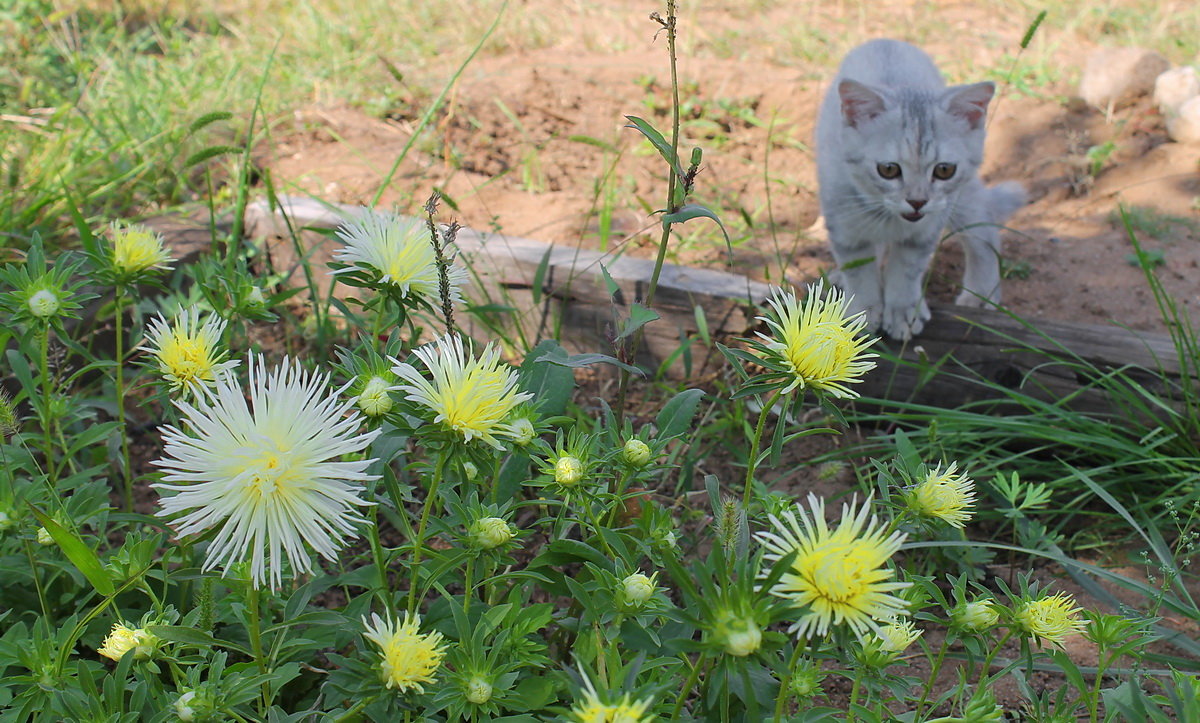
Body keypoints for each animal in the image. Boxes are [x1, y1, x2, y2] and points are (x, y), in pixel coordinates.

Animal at [820, 40, 1027, 338]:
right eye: (888, 169)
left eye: (944, 170)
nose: (917, 201)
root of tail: (885, 40)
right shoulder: (843, 221)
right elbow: (858, 268)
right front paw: (862, 309)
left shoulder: (925, 230)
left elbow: (906, 269)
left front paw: (901, 311)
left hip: (960, 198)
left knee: (984, 229)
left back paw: (981, 293)